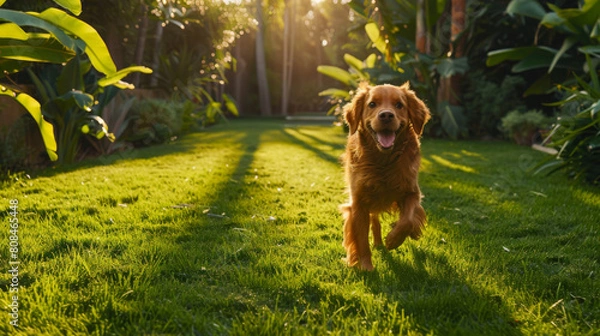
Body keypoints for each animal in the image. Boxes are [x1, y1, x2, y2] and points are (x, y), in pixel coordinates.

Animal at [340, 82, 428, 272]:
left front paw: (394, 239)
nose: (386, 115)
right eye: (372, 104)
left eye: (399, 105)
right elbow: (362, 240)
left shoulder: (412, 192)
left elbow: (408, 220)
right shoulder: (359, 204)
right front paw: (366, 267)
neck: (383, 162)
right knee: (374, 221)